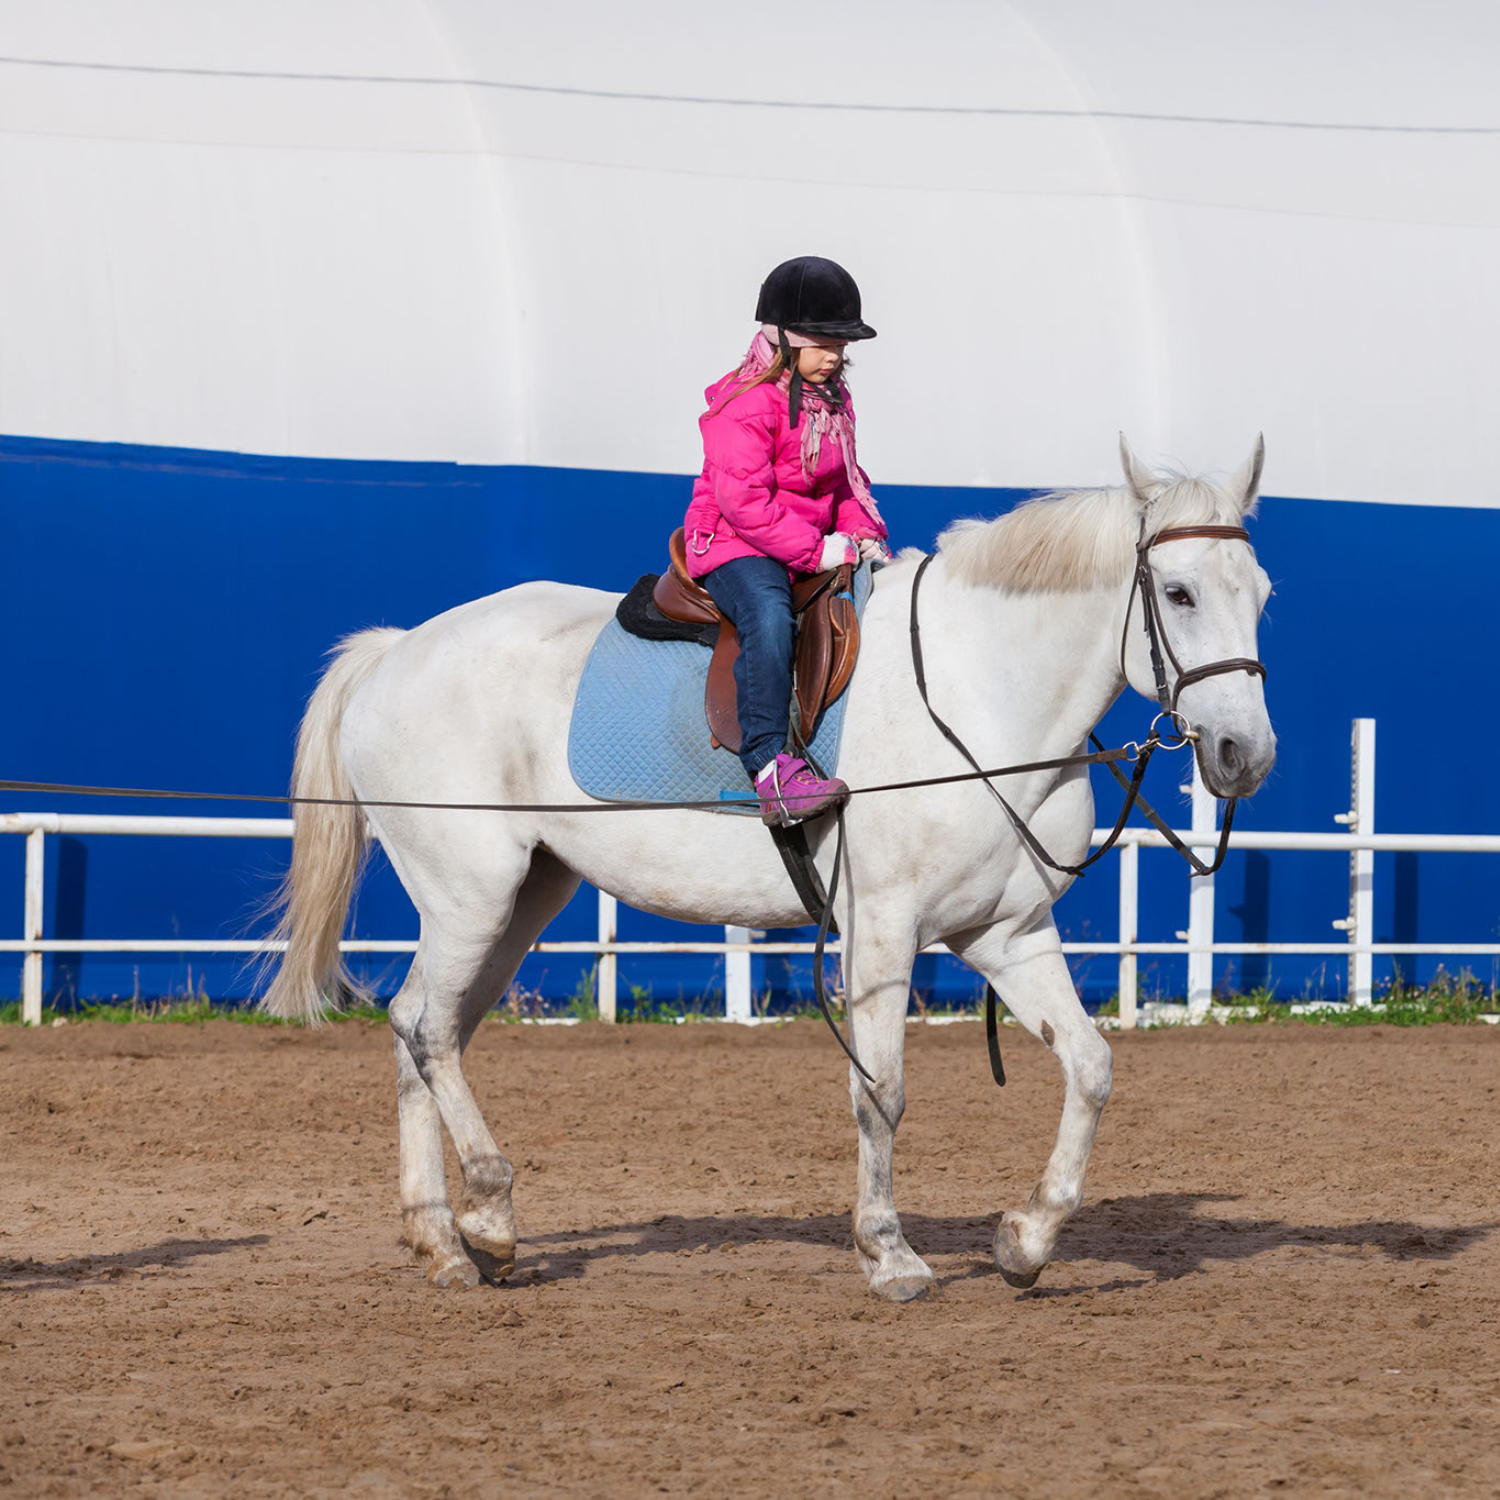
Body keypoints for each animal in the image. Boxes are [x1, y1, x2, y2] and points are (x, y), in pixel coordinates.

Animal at [264, 438, 1272, 1302]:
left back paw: (441, 1241)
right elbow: (881, 1093)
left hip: (520, 902)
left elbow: (1092, 1067)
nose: (1243, 755)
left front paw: (1026, 1241)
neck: (979, 694)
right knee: (428, 1032)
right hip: (471, 896)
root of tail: (396, 650)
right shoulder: (882, 934)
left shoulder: (1006, 935)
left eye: (1260, 592)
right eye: (1178, 591)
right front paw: (889, 1253)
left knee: (416, 1030)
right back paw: (491, 1213)